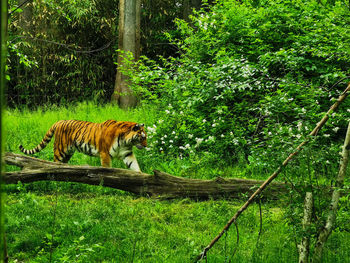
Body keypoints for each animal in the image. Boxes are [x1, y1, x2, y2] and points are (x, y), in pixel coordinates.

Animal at [18, 120, 147, 173]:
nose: (146, 146)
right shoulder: (105, 154)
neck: (126, 141)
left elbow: (135, 166)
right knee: (54, 163)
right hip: (60, 150)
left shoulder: (127, 153)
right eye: (142, 137)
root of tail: (59, 121)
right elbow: (107, 169)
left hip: (68, 153)